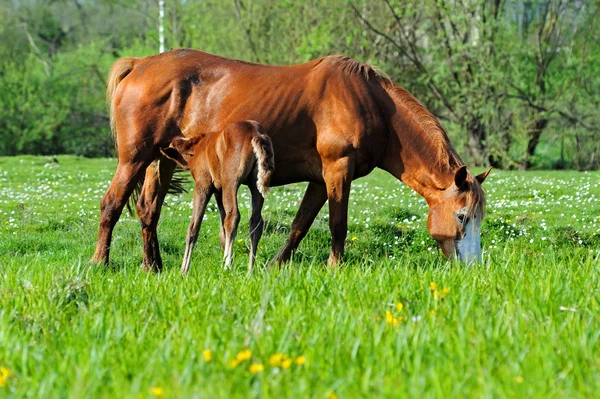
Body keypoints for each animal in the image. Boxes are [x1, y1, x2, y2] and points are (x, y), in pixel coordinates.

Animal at [158, 120, 274, 274]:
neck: (197, 148)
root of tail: (255, 132)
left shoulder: (203, 185)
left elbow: (193, 227)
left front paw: (183, 270)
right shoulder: (218, 191)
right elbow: (222, 227)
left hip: (230, 182)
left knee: (233, 216)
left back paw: (227, 266)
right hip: (254, 186)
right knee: (255, 221)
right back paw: (250, 270)